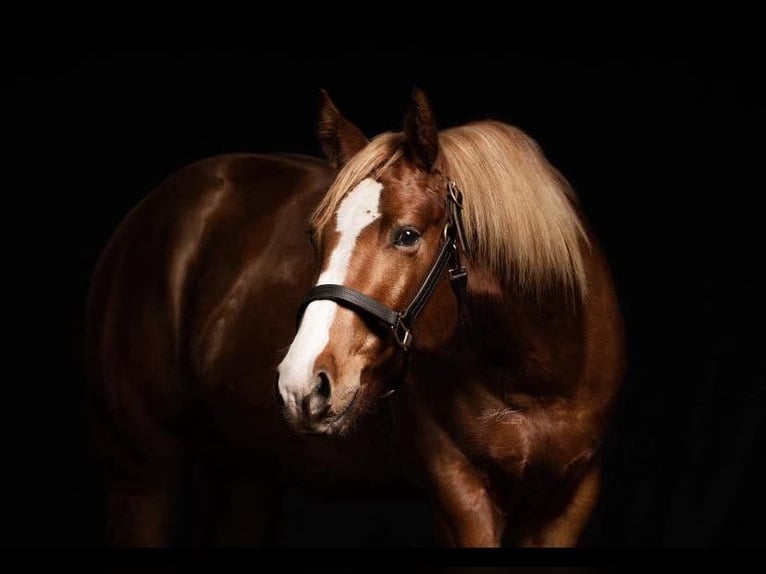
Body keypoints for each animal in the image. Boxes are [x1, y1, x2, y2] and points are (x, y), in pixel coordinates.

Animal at [86, 88, 625, 547]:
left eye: (407, 235)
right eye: (314, 234)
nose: (302, 384)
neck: (532, 373)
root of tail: (145, 216)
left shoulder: (569, 500)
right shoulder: (461, 496)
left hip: (246, 471)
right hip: (141, 472)